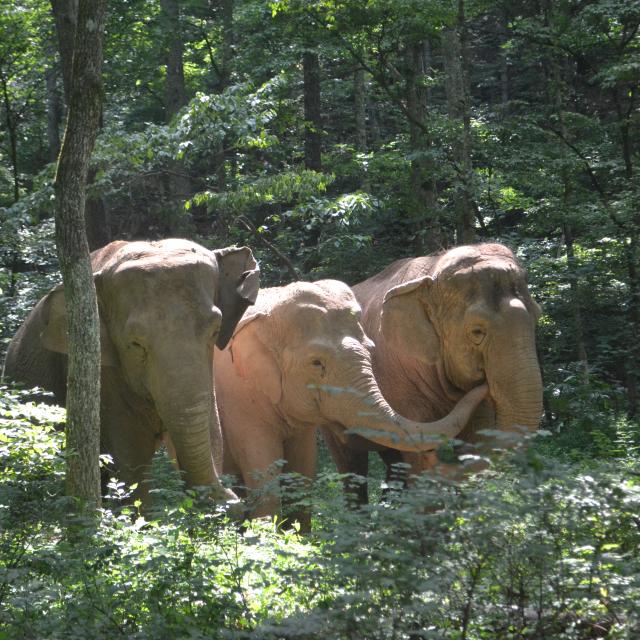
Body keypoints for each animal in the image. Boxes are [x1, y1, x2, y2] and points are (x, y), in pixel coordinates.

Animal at [2, 238, 260, 505]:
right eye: (134, 344)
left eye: (215, 330)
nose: (235, 497)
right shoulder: (105, 372)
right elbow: (133, 459)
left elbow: (212, 430)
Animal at [213, 279, 488, 529]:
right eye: (316, 363)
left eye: (370, 349)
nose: (483, 382)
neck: (270, 309)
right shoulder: (239, 401)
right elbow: (265, 479)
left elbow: (302, 474)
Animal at [322, 243, 544, 503]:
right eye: (477, 332)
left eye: (537, 317)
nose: (486, 387)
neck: (432, 272)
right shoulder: (396, 375)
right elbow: (415, 444)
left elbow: (473, 441)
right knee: (351, 462)